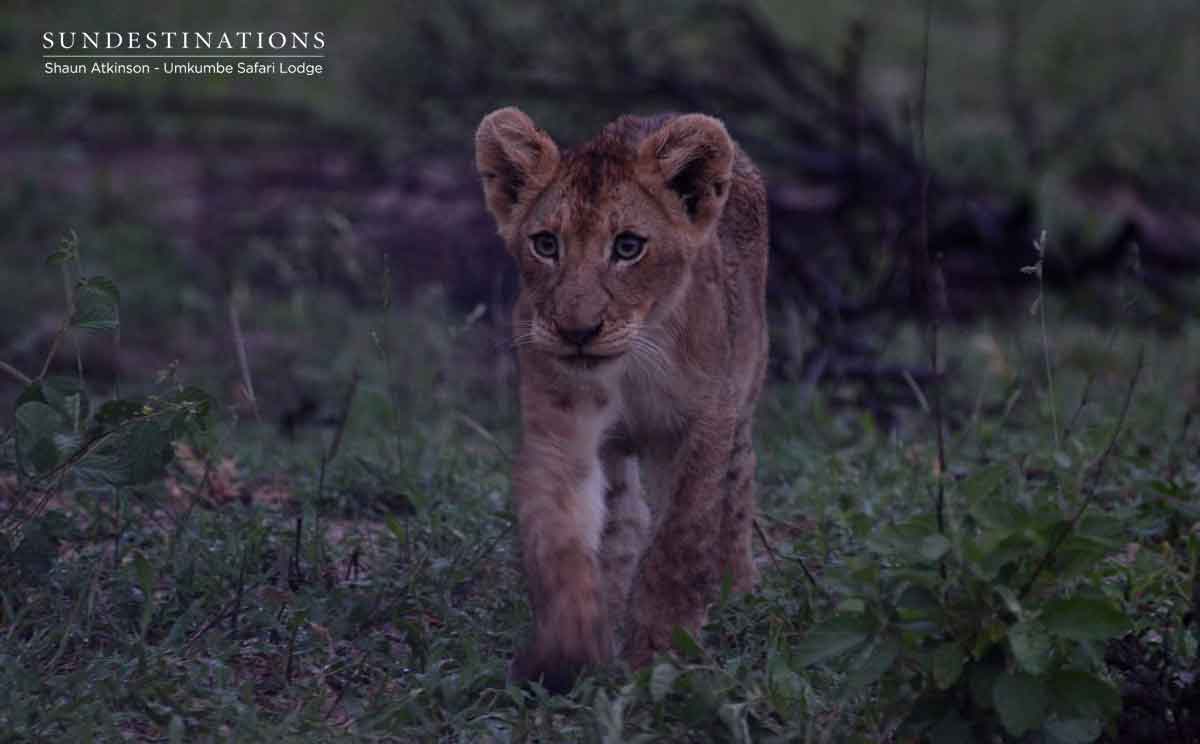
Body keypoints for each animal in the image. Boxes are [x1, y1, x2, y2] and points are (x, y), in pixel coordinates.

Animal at [474, 107, 769, 692]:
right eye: (546, 244)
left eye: (628, 247)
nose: (577, 331)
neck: (630, 365)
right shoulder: (560, 424)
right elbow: (561, 538)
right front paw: (568, 652)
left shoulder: (704, 421)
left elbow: (680, 536)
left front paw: (658, 651)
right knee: (625, 517)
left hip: (744, 389)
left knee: (737, 483)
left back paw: (737, 584)